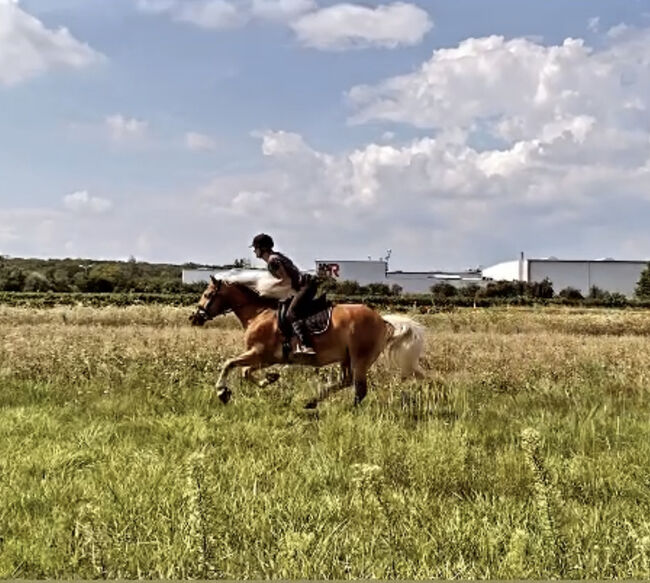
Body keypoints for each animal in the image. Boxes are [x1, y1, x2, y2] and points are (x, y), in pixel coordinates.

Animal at [187, 272, 422, 408]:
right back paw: (312, 402)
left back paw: (345, 409)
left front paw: (222, 392)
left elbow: (229, 364)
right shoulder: (266, 358)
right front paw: (269, 379)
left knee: (360, 389)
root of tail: (382, 320)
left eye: (207, 294)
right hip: (347, 357)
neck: (257, 313)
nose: (194, 317)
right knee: (346, 381)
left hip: (360, 358)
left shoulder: (258, 353)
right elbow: (246, 372)